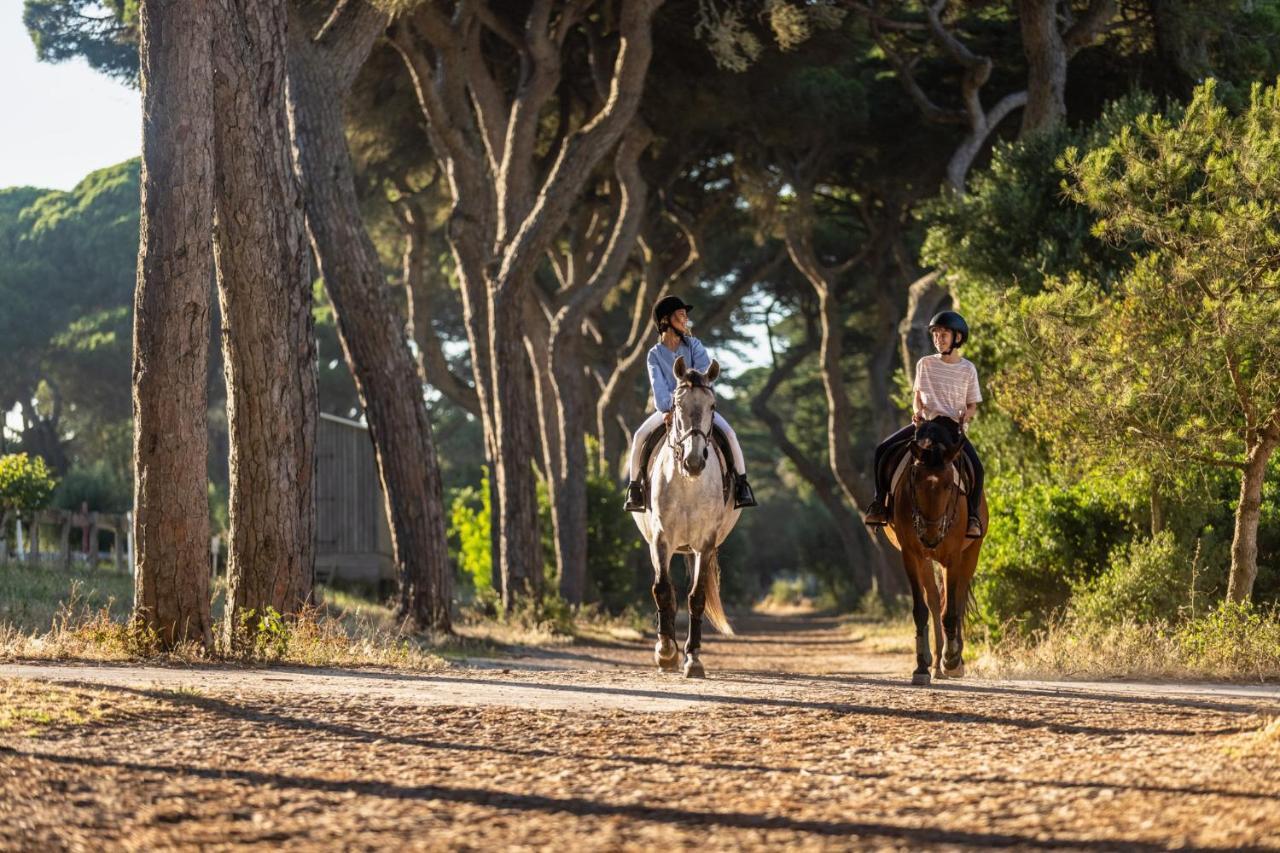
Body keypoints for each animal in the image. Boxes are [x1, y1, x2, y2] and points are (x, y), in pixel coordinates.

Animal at [637, 356, 747, 676]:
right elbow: (663, 590)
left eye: (712, 405)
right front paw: (666, 653)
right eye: (677, 404)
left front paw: (693, 658)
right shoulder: (661, 540)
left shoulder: (705, 543)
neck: (688, 482)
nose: (694, 461)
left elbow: (696, 597)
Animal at [885, 417, 983, 686]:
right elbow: (921, 609)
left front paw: (952, 659)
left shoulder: (953, 557)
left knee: (956, 600)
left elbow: (952, 610)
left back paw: (952, 661)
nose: (930, 536)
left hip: (970, 554)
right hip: (927, 559)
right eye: (915, 481)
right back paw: (936, 663)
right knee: (934, 601)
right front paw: (921, 666)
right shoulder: (911, 554)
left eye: (950, 485)